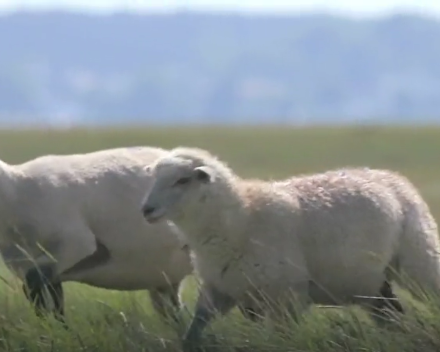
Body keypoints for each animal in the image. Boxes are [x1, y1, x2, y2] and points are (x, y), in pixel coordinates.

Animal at [0, 147, 196, 324]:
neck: (17, 188)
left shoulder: (76, 243)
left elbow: (35, 283)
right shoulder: (33, 265)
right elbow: (48, 301)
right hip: (164, 279)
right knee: (174, 313)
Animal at [140, 146, 440, 352]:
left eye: (182, 180)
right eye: (154, 179)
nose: (146, 210)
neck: (243, 217)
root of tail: (387, 175)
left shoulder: (286, 295)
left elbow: (282, 339)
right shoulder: (220, 289)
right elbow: (194, 330)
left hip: (419, 256)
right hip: (370, 281)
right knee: (391, 313)